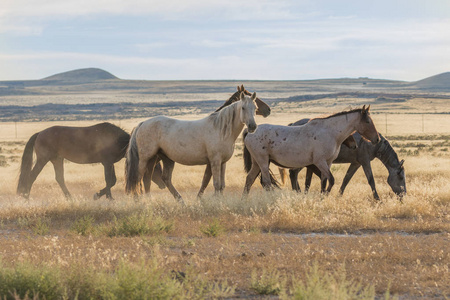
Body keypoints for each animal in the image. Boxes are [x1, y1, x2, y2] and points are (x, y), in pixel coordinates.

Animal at [17, 122, 167, 199]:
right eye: (156, 168)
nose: (163, 185)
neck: (117, 140)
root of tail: (39, 133)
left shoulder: (109, 163)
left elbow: (112, 180)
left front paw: (100, 194)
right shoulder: (107, 163)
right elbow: (109, 180)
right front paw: (107, 197)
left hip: (57, 159)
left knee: (59, 178)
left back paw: (69, 197)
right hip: (43, 159)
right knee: (32, 176)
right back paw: (26, 196)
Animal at [125, 92, 266, 203]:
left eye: (255, 108)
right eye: (243, 108)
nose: (252, 126)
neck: (221, 130)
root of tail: (143, 123)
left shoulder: (223, 162)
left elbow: (221, 185)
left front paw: (220, 201)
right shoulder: (215, 161)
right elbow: (216, 184)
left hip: (160, 158)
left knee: (152, 179)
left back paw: (170, 201)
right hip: (146, 159)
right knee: (138, 178)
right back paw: (139, 201)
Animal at [243, 106, 380, 197]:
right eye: (368, 121)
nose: (377, 139)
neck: (329, 133)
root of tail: (249, 132)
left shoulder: (328, 163)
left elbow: (324, 181)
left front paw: (322, 197)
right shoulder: (320, 162)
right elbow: (331, 180)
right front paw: (325, 195)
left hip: (257, 163)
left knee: (250, 179)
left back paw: (244, 200)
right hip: (263, 161)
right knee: (266, 182)